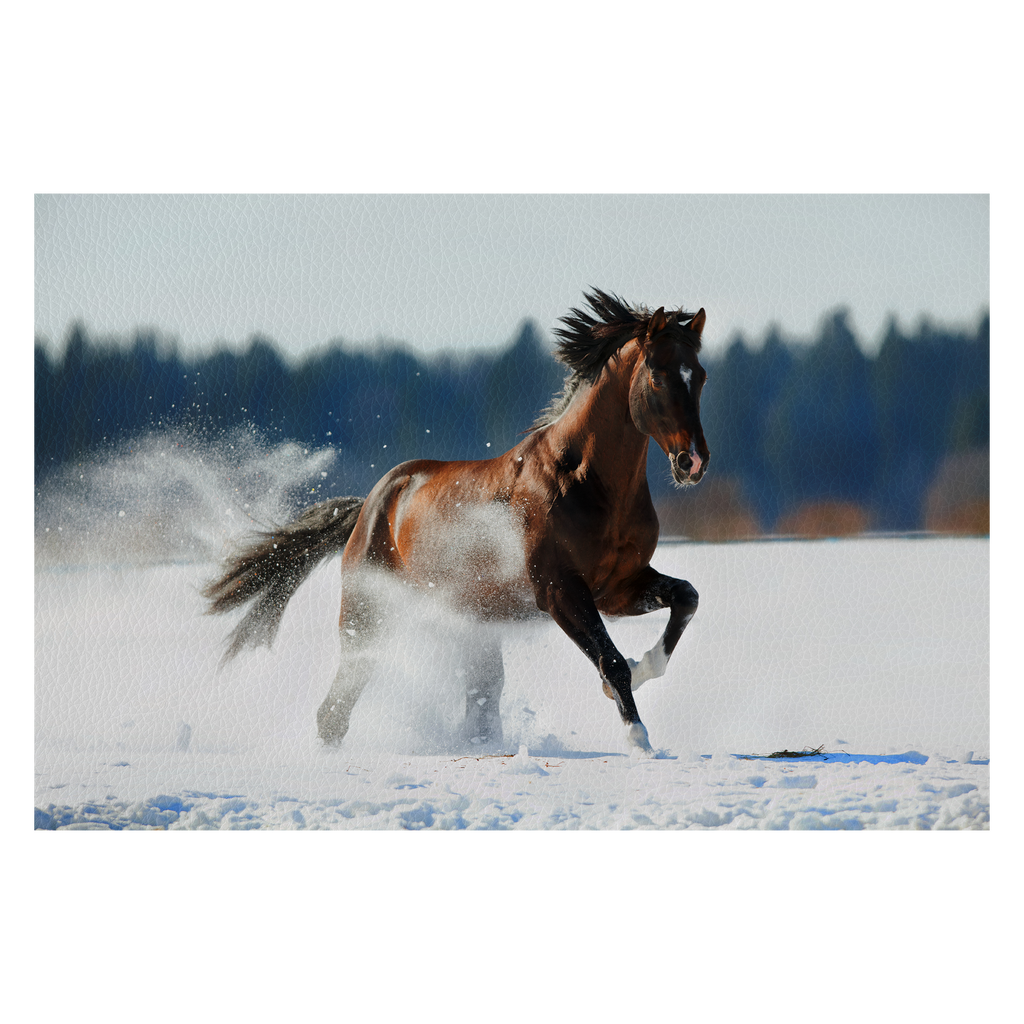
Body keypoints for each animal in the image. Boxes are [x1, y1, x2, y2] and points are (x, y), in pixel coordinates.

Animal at [203, 288, 708, 753]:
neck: (584, 482)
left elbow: (686, 597)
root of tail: (370, 505)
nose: (693, 462)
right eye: (658, 376)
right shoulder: (559, 591)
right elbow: (611, 660)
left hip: (472, 624)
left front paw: (643, 672)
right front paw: (638, 737)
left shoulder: (617, 587)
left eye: (700, 375)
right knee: (336, 708)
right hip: (369, 617)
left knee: (478, 700)